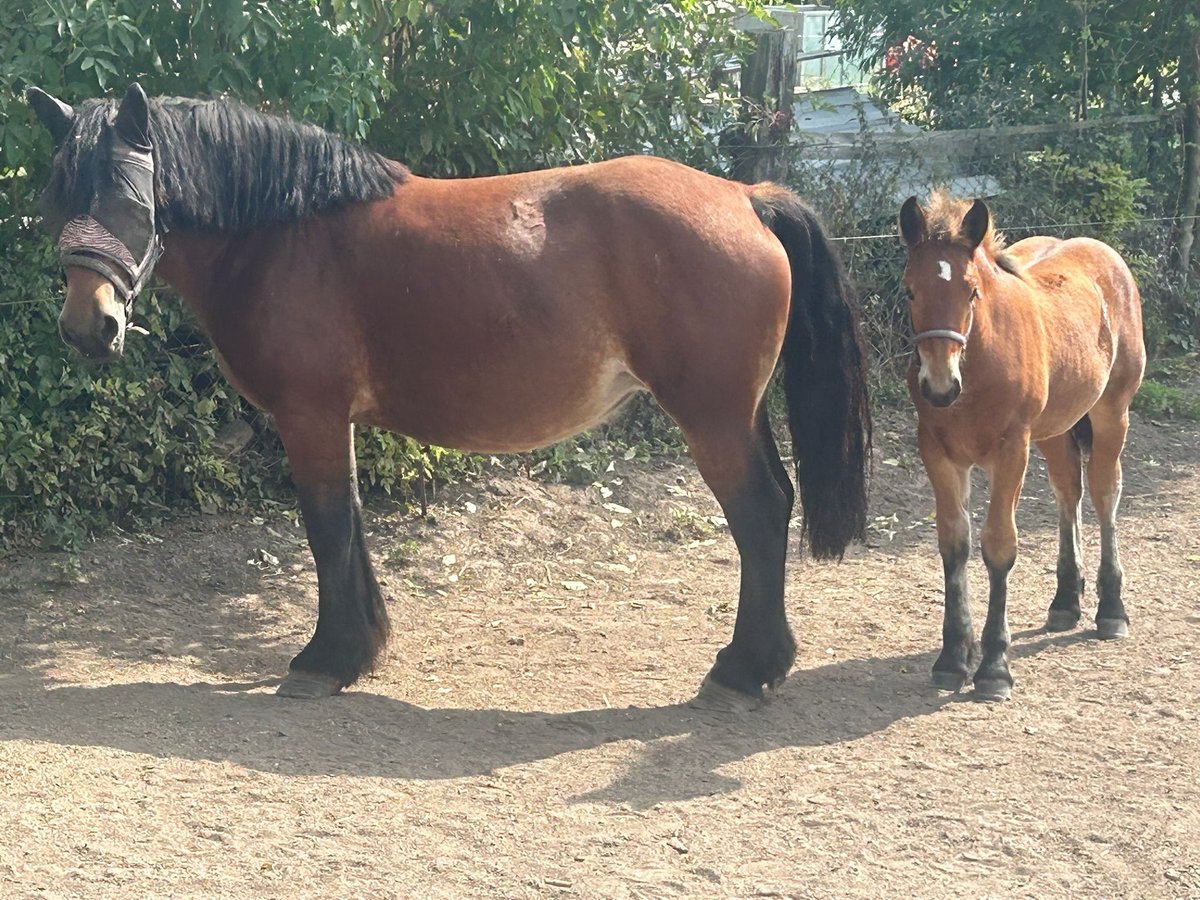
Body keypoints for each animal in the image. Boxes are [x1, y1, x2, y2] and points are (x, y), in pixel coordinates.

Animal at [28, 81, 868, 710]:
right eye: (58, 198)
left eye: (133, 201)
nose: (89, 327)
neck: (286, 234)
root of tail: (746, 197)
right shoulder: (335, 420)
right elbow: (348, 521)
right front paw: (360, 647)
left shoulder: (309, 415)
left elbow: (325, 526)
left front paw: (325, 658)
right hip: (739, 414)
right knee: (777, 503)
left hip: (712, 418)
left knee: (759, 514)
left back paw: (742, 672)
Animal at [902, 192, 1142, 705]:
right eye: (910, 291)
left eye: (971, 292)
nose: (939, 386)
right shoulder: (938, 452)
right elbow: (954, 543)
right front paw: (953, 658)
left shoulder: (1012, 451)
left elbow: (999, 546)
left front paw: (993, 667)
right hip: (1054, 430)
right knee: (1068, 492)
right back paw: (1066, 601)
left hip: (1112, 412)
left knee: (1104, 493)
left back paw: (1112, 609)